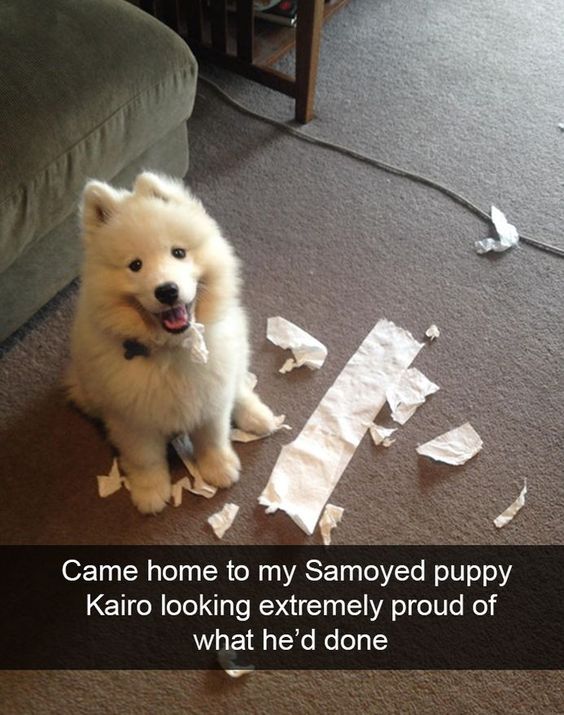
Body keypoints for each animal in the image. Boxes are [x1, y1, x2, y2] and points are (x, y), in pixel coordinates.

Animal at [67, 171, 276, 512]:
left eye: (178, 252)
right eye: (135, 265)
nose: (167, 290)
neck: (173, 349)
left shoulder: (211, 393)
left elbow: (212, 436)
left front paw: (219, 468)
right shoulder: (131, 418)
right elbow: (145, 458)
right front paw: (150, 493)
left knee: (239, 386)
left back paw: (257, 416)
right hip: (87, 391)